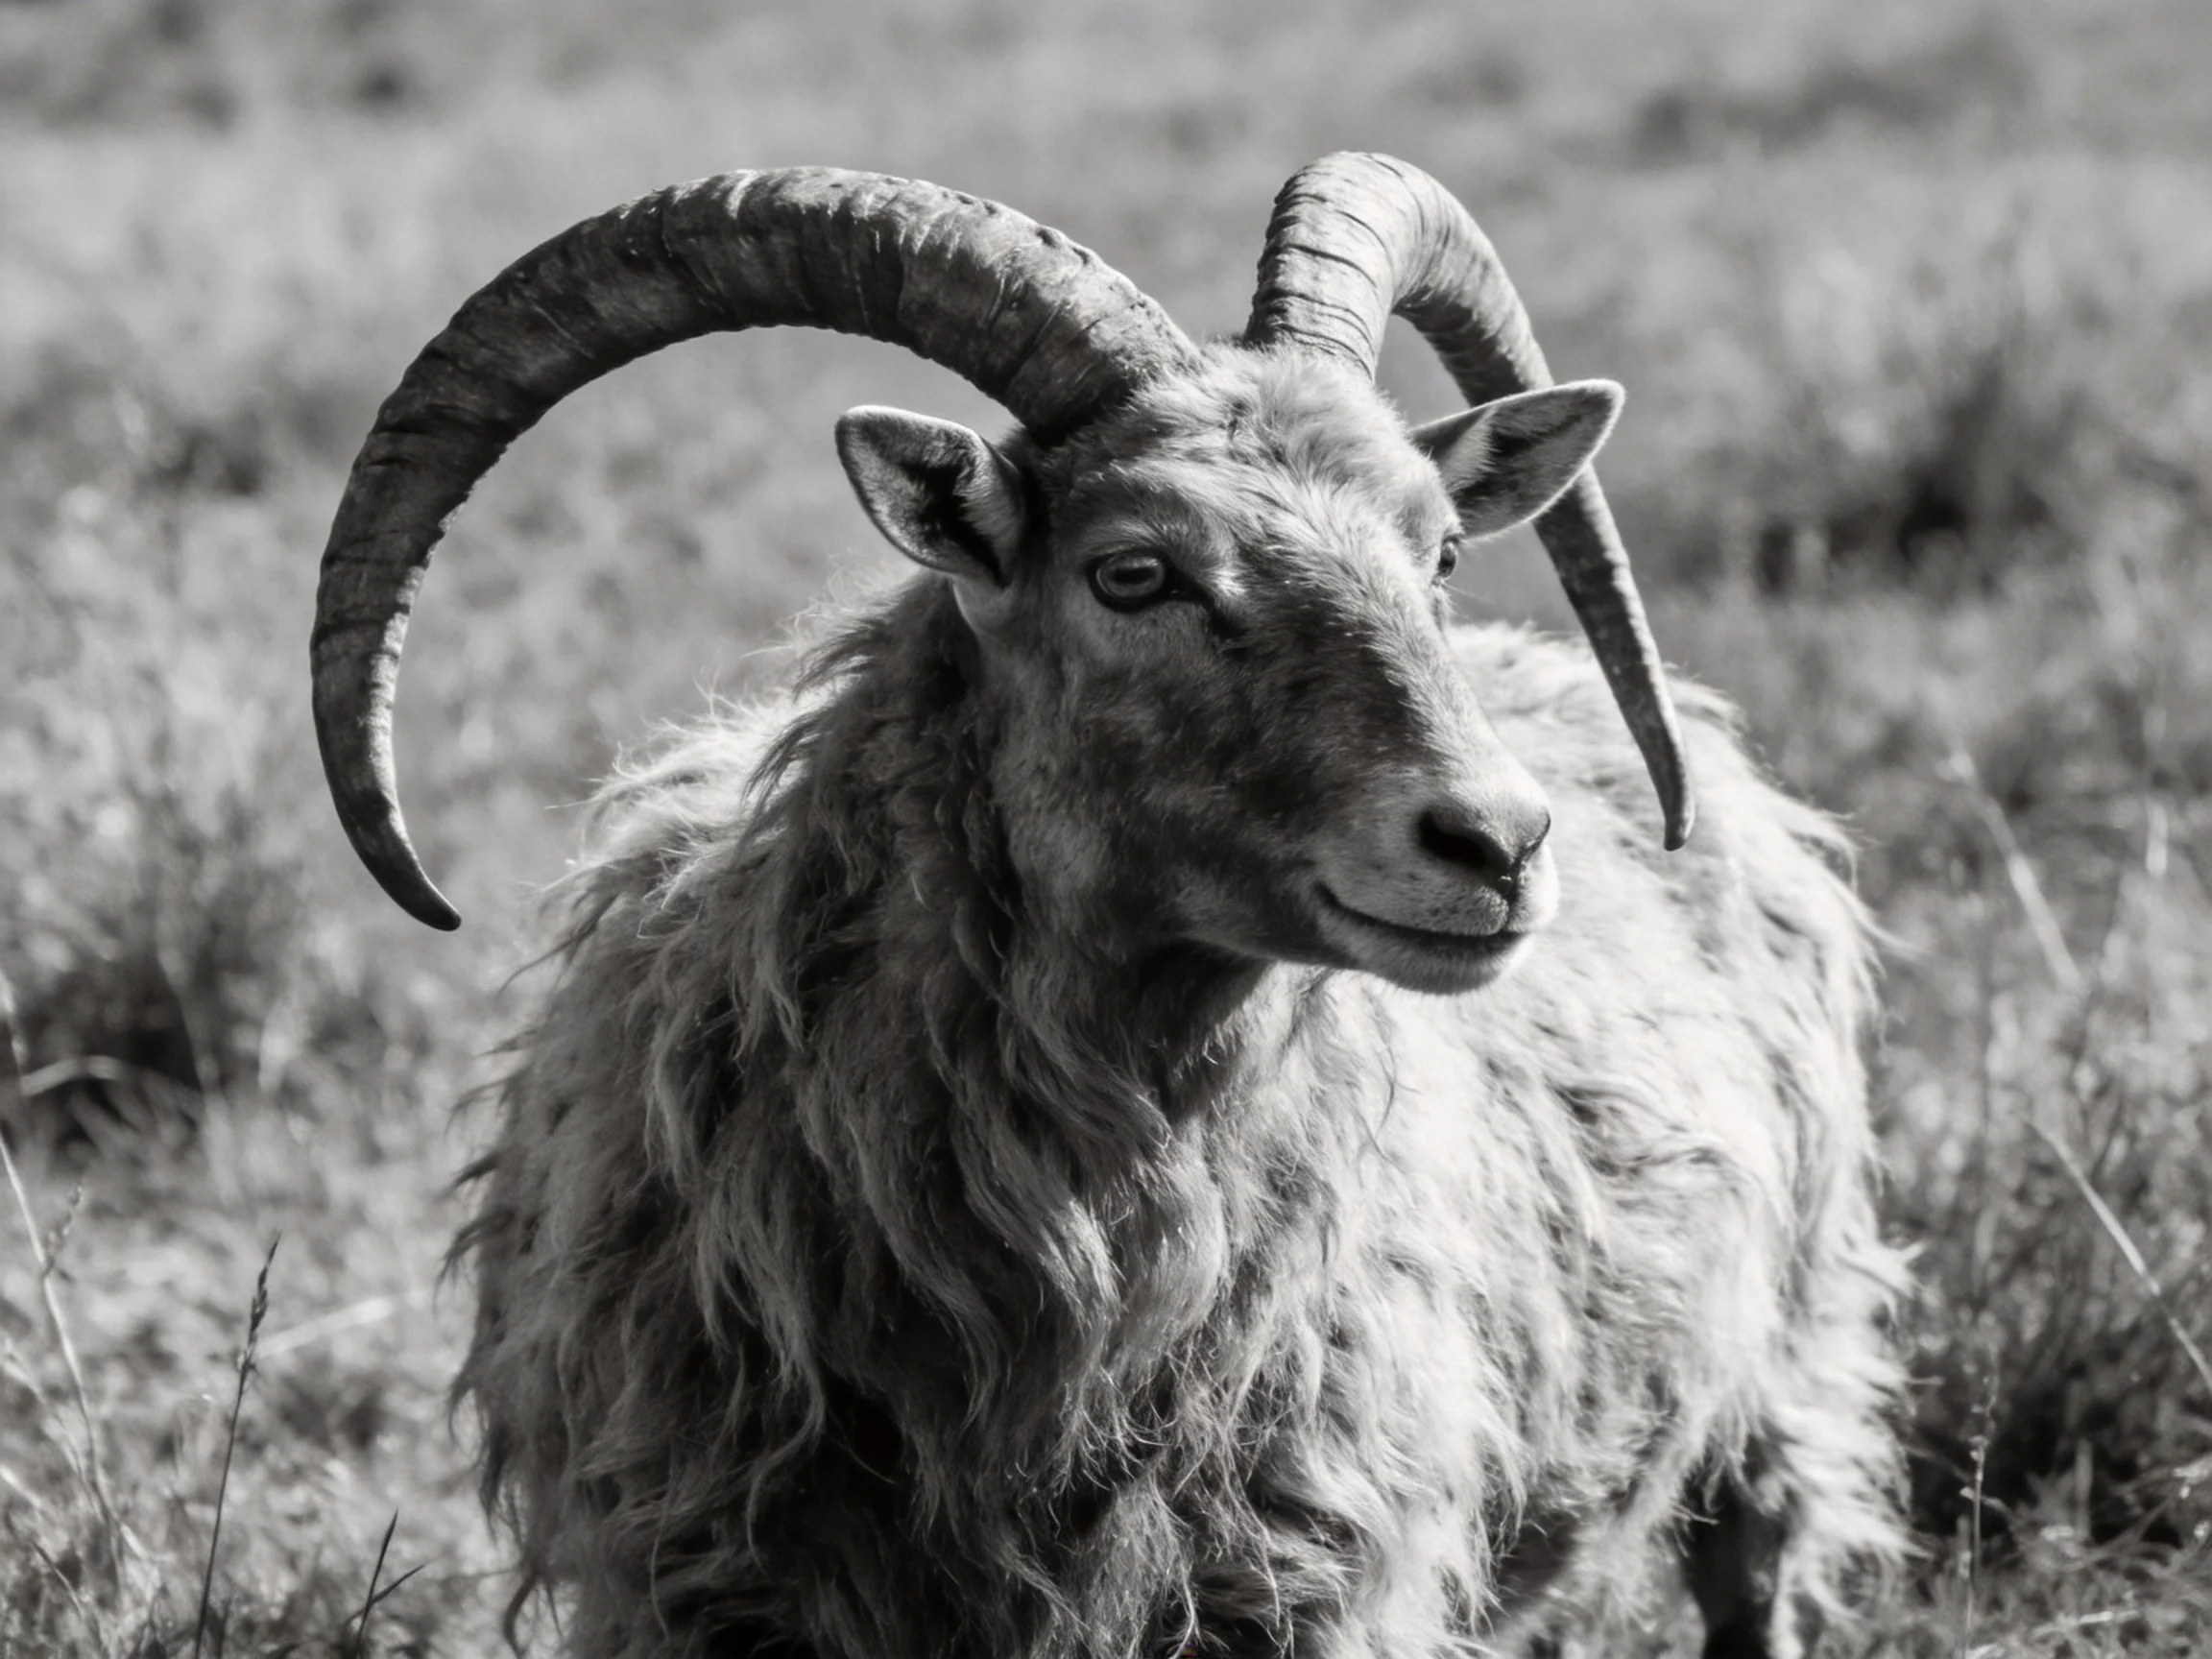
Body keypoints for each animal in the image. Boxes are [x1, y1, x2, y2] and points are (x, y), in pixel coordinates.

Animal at [312, 154, 1903, 1659]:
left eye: (1439, 550)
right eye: (1134, 571)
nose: (1497, 845)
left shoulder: (1301, 1584)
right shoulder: (701, 1583)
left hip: (1787, 1373)